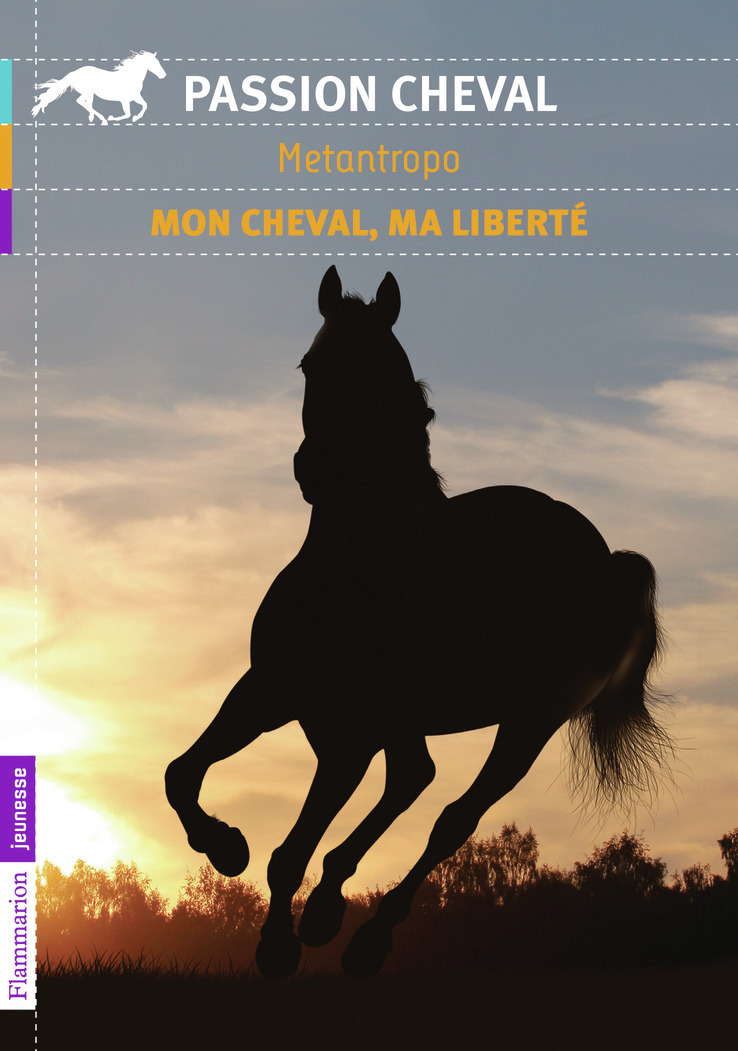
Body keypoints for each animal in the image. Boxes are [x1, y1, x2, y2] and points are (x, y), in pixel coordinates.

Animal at [31, 51, 166, 125]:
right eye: (155, 63)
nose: (163, 75)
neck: (131, 77)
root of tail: (75, 73)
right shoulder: (126, 100)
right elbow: (128, 114)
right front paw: (112, 118)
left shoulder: (134, 97)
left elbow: (144, 105)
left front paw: (136, 117)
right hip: (89, 92)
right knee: (82, 102)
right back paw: (102, 119)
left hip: (88, 94)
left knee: (84, 102)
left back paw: (93, 117)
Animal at [165, 267, 673, 979]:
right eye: (311, 364)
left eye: (380, 370)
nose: (314, 470)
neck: (358, 556)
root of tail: (602, 558)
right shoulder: (273, 691)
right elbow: (181, 774)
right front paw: (226, 847)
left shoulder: (351, 731)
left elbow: (291, 850)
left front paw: (278, 942)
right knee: (413, 779)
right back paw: (328, 911)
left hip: (529, 722)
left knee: (452, 818)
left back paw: (366, 938)